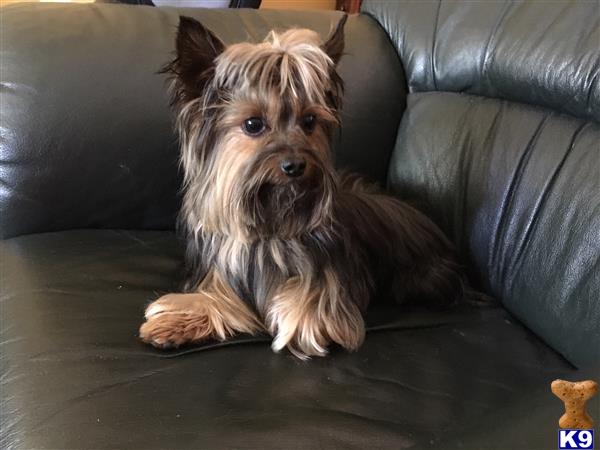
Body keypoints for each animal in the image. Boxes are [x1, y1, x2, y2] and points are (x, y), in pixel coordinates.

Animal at [141, 14, 464, 358]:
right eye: (253, 124)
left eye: (309, 121)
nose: (295, 165)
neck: (271, 227)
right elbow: (220, 298)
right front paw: (174, 322)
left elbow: (312, 304)